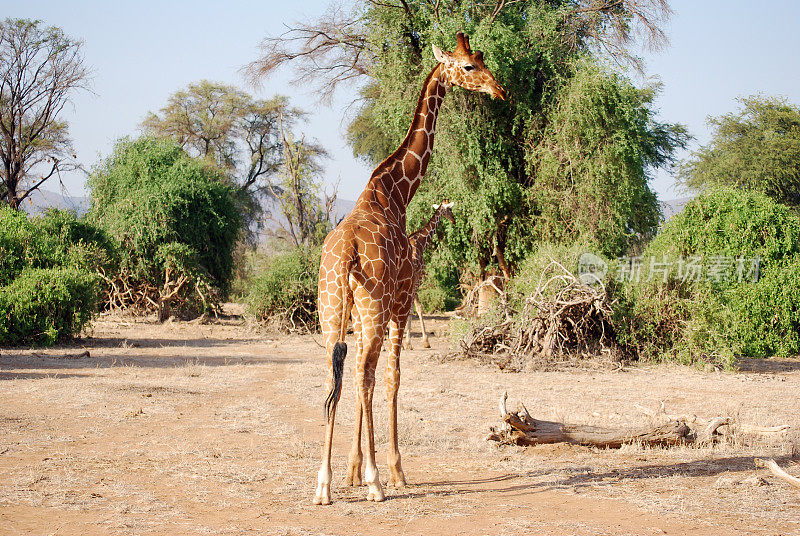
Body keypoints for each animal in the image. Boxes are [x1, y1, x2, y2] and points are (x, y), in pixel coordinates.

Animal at [406, 201, 456, 352]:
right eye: (450, 209)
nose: (454, 219)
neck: (421, 241)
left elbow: (417, 307)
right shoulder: (418, 277)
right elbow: (415, 308)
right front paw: (412, 343)